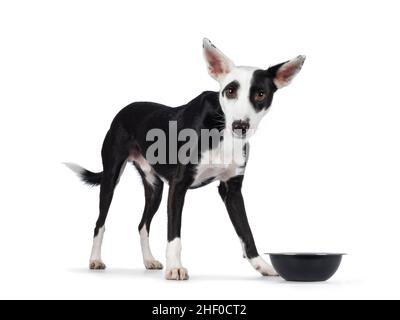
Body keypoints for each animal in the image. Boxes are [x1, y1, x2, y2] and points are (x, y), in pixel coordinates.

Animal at [65, 38, 304, 280]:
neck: (221, 130)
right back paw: (95, 259)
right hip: (111, 178)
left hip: (155, 188)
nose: (240, 126)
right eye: (229, 91)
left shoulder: (232, 190)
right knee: (100, 223)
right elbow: (174, 234)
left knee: (142, 225)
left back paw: (149, 260)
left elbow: (246, 232)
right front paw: (175, 267)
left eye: (261, 94)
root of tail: (123, 111)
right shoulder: (178, 186)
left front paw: (261, 264)